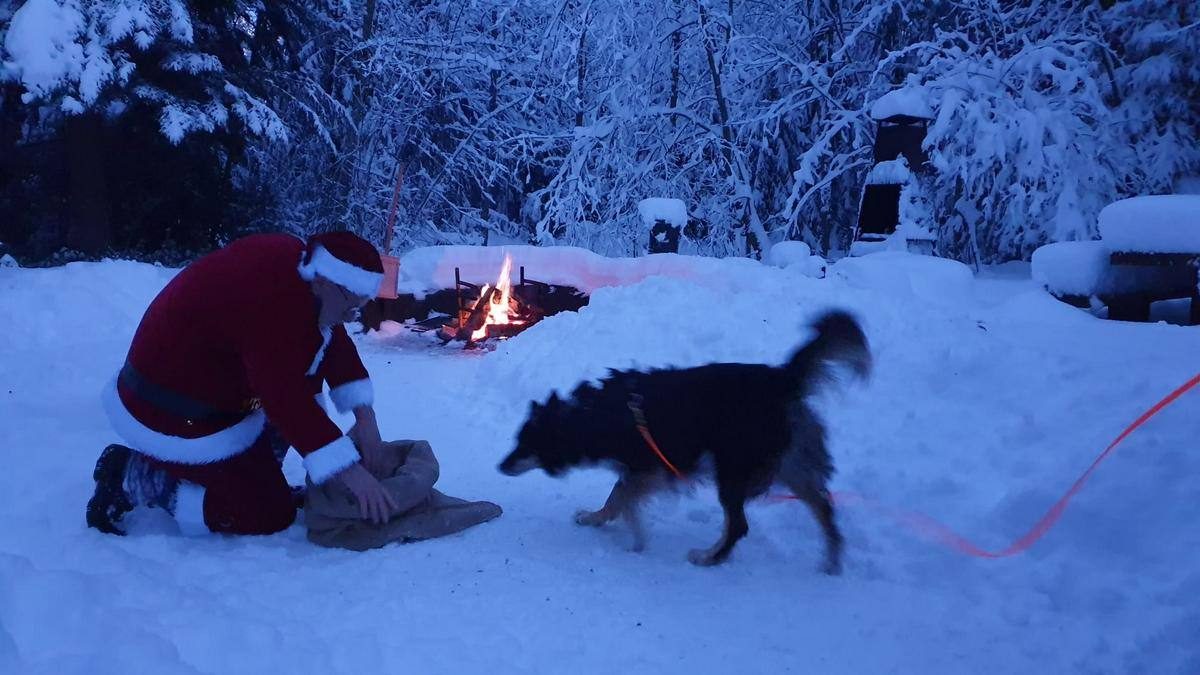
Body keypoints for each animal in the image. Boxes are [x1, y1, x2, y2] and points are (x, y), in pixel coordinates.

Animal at [498, 310, 870, 573]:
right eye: (515, 440)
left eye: (524, 444)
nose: (500, 465)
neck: (590, 417)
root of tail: (781, 378)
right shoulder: (641, 470)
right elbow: (615, 499)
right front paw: (596, 518)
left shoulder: (646, 468)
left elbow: (621, 499)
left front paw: (633, 537)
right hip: (789, 464)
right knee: (823, 508)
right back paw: (831, 561)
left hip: (731, 470)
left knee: (739, 525)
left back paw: (709, 558)